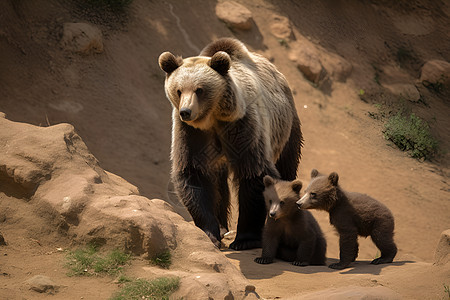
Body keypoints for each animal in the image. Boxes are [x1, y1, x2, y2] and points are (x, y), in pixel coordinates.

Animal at [158, 38, 302, 251]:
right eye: (178, 90)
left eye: (199, 89)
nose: (186, 111)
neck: (212, 118)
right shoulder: (191, 134)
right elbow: (194, 173)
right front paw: (210, 233)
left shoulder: (242, 126)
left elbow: (254, 173)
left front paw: (245, 239)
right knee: (218, 182)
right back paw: (223, 226)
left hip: (286, 126)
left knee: (287, 166)